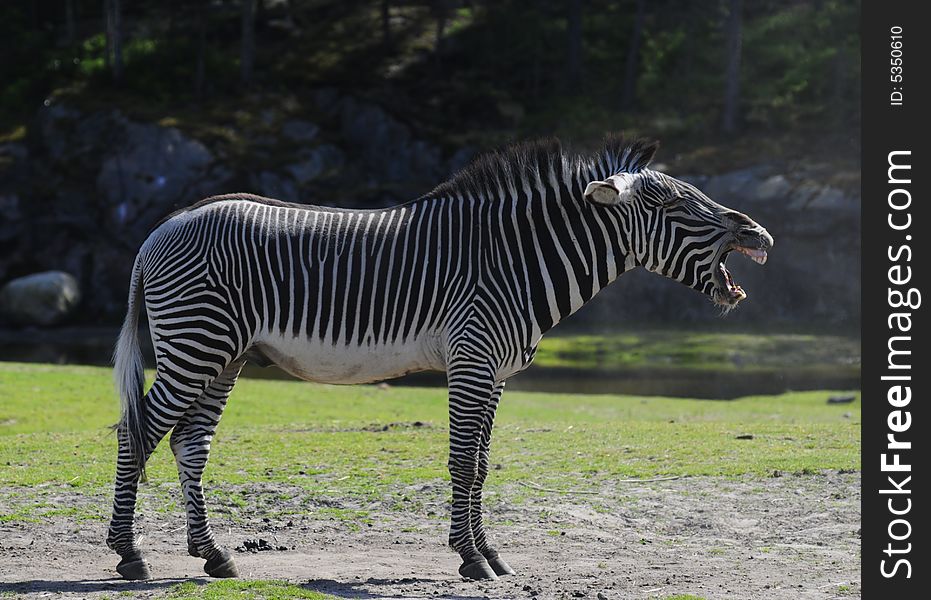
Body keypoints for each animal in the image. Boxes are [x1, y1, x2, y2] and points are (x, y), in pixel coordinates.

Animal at [107, 135, 772, 580]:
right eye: (675, 207)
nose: (760, 235)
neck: (517, 259)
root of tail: (163, 226)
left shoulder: (495, 372)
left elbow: (480, 464)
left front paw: (491, 552)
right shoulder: (472, 360)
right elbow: (460, 461)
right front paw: (471, 558)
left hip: (226, 354)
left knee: (188, 442)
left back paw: (213, 555)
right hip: (197, 341)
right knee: (136, 433)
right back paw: (129, 554)